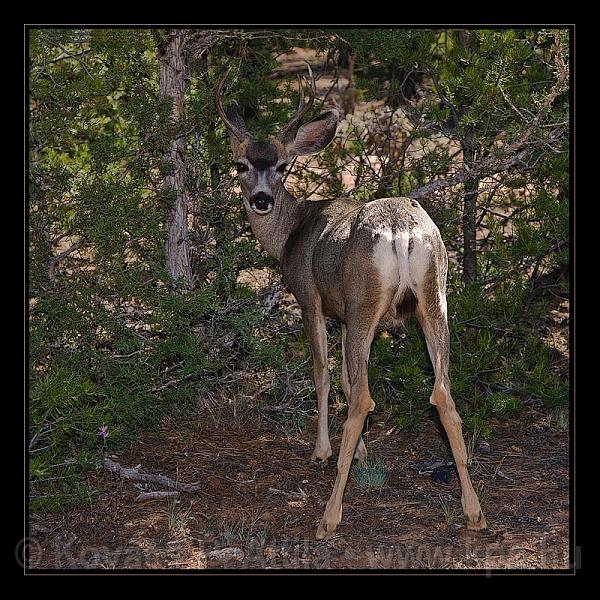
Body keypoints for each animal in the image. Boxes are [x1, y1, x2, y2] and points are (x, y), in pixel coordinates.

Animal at [216, 69, 488, 540]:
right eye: (241, 164)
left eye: (283, 166)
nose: (262, 199)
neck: (291, 233)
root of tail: (401, 230)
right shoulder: (343, 314)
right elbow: (345, 377)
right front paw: (360, 450)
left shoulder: (311, 299)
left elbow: (324, 376)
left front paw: (324, 450)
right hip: (433, 296)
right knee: (443, 393)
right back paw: (474, 510)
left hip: (367, 302)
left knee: (365, 399)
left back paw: (329, 516)